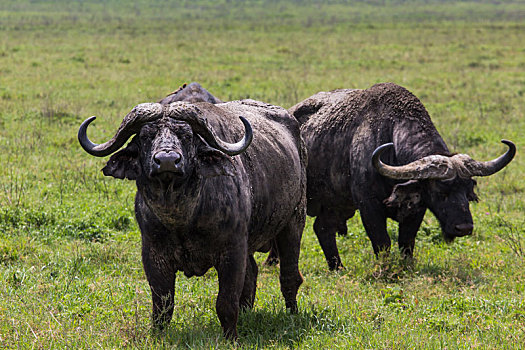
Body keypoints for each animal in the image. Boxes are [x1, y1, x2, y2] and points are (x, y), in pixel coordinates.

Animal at [78, 98, 308, 340]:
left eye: (187, 136)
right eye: (145, 136)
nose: (167, 161)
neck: (182, 218)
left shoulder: (233, 251)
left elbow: (226, 303)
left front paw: (231, 338)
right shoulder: (153, 255)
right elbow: (162, 305)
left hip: (294, 219)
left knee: (289, 276)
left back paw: (292, 314)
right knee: (253, 273)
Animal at [290, 82, 516, 270]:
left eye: (468, 191)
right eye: (440, 191)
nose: (464, 227)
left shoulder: (417, 208)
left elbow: (406, 242)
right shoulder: (368, 205)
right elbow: (382, 242)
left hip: (337, 204)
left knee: (323, 228)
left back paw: (338, 268)